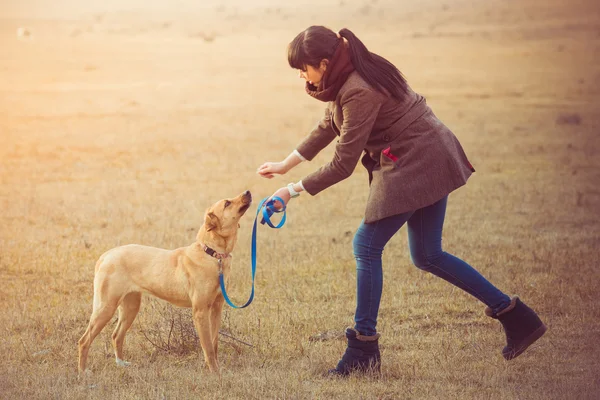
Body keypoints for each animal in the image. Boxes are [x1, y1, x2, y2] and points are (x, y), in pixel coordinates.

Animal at [77, 191, 251, 376]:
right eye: (227, 203)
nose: (248, 192)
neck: (212, 253)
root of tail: (106, 255)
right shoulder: (200, 311)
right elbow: (209, 347)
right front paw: (215, 372)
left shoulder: (216, 309)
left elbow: (214, 343)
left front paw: (215, 368)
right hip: (106, 307)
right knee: (84, 341)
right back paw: (83, 371)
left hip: (131, 306)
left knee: (116, 335)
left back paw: (121, 363)